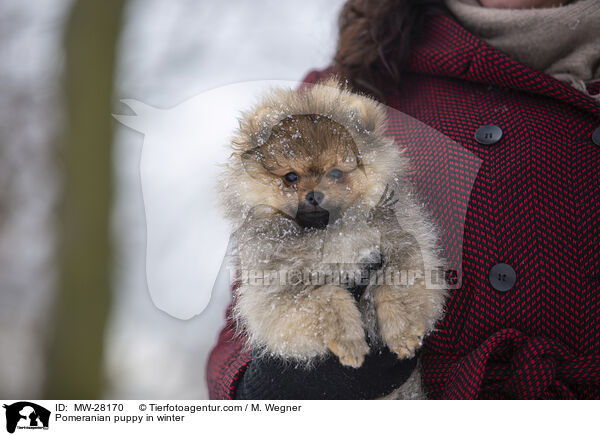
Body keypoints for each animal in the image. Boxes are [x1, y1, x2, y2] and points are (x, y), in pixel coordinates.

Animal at [219, 80, 446, 384]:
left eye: (336, 173)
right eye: (291, 177)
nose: (315, 194)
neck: (330, 233)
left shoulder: (406, 249)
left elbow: (392, 284)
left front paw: (403, 331)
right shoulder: (278, 295)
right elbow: (328, 296)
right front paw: (350, 342)